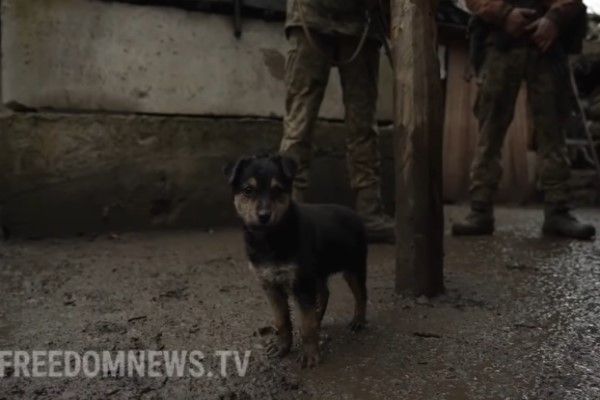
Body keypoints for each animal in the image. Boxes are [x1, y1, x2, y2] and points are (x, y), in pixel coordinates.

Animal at [224, 153, 366, 368]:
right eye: (248, 190)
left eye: (277, 190)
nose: (264, 216)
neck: (270, 239)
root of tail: (355, 215)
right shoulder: (271, 285)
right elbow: (282, 321)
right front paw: (282, 348)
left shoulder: (301, 282)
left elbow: (306, 324)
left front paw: (310, 355)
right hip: (318, 272)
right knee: (324, 294)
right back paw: (319, 318)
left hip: (353, 267)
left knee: (361, 294)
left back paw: (358, 321)